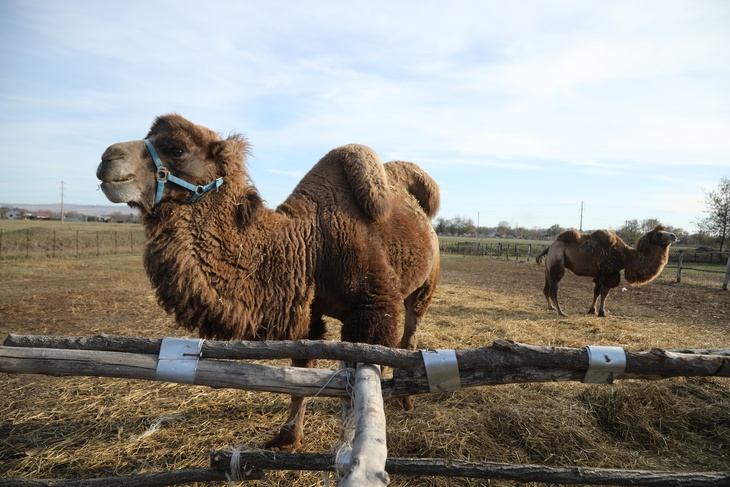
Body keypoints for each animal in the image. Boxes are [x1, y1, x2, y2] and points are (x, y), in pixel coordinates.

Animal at [96, 112, 438, 452]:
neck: (310, 244)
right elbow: (302, 370)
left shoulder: (373, 305)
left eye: (176, 149)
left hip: (424, 288)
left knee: (409, 337)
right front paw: (287, 437)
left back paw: (406, 400)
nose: (107, 158)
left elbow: (364, 371)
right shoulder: (308, 311)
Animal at [532, 227, 672, 318]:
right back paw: (561, 312)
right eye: (659, 234)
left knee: (546, 288)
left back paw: (551, 307)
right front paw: (602, 312)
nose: (673, 236)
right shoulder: (609, 273)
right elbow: (604, 293)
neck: (627, 257)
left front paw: (592, 310)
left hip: (548, 267)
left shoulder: (600, 274)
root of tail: (549, 247)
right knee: (553, 289)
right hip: (557, 262)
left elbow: (596, 292)